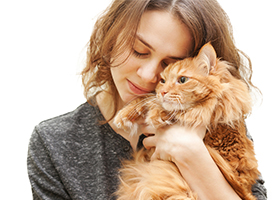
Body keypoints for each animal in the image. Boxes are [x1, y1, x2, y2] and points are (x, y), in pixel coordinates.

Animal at [113, 43, 260, 199]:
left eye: (183, 80)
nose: (163, 92)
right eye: (162, 81)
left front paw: (157, 114)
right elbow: (147, 98)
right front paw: (125, 114)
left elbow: (177, 110)